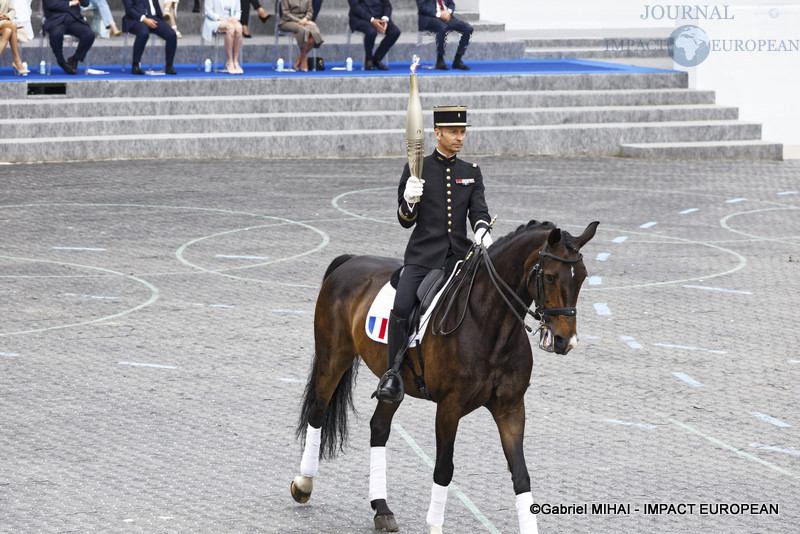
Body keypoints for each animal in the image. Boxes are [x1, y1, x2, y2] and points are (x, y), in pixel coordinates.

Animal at [290, 221, 596, 534]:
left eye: (583, 277)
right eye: (549, 277)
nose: (565, 341)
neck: (488, 323)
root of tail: (350, 261)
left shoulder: (511, 408)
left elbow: (521, 474)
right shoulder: (450, 407)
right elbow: (444, 469)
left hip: (393, 387)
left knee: (379, 428)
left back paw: (382, 508)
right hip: (333, 360)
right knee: (318, 413)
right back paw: (304, 484)